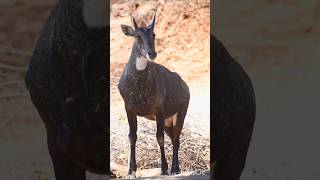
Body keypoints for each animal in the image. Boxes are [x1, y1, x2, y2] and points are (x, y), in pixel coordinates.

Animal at [119, 14, 190, 177]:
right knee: (174, 138)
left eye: (153, 34)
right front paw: (131, 171)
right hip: (168, 122)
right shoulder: (129, 109)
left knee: (176, 139)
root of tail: (184, 85)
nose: (152, 54)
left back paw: (174, 169)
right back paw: (174, 168)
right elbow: (132, 137)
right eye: (138, 35)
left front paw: (163, 168)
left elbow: (159, 138)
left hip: (180, 114)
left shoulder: (159, 110)